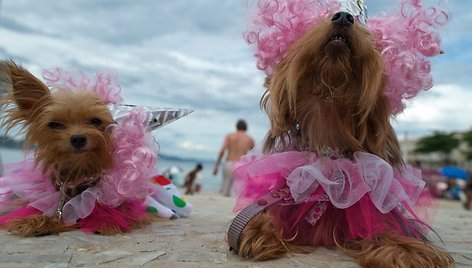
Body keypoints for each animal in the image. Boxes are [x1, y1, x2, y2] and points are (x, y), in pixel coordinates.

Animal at [0, 61, 192, 237]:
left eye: (95, 121)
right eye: (54, 124)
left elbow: (121, 211)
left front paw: (107, 220)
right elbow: (49, 213)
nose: (77, 138)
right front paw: (35, 221)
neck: (80, 172)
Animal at [229, 1, 454, 266]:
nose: (344, 17)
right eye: (315, 24)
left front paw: (405, 248)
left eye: (370, 37)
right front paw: (260, 230)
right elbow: (272, 213)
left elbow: (383, 225)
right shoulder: (285, 196)